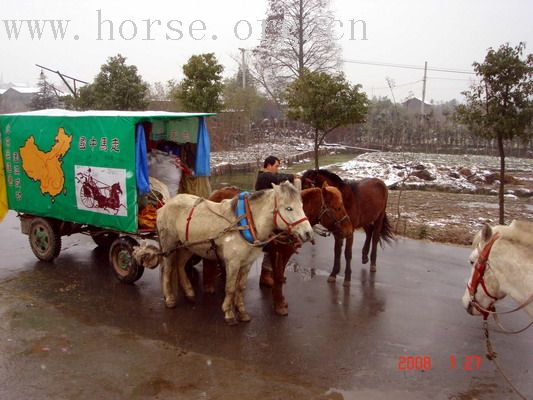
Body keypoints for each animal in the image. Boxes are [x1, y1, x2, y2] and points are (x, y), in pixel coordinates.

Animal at [155, 182, 312, 324]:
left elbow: (240, 287)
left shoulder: (247, 263)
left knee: (180, 265)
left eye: (302, 206)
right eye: (289, 208)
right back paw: (169, 298)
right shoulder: (233, 263)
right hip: (169, 245)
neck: (246, 223)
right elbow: (230, 288)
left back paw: (189, 293)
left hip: (187, 246)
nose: (308, 233)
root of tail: (164, 206)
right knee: (168, 269)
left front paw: (242, 312)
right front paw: (228, 313)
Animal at [202, 184, 352, 316]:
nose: (349, 230)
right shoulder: (278, 253)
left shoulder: (286, 254)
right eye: (338, 208)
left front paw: (279, 299)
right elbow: (278, 278)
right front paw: (279, 304)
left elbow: (278, 277)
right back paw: (208, 285)